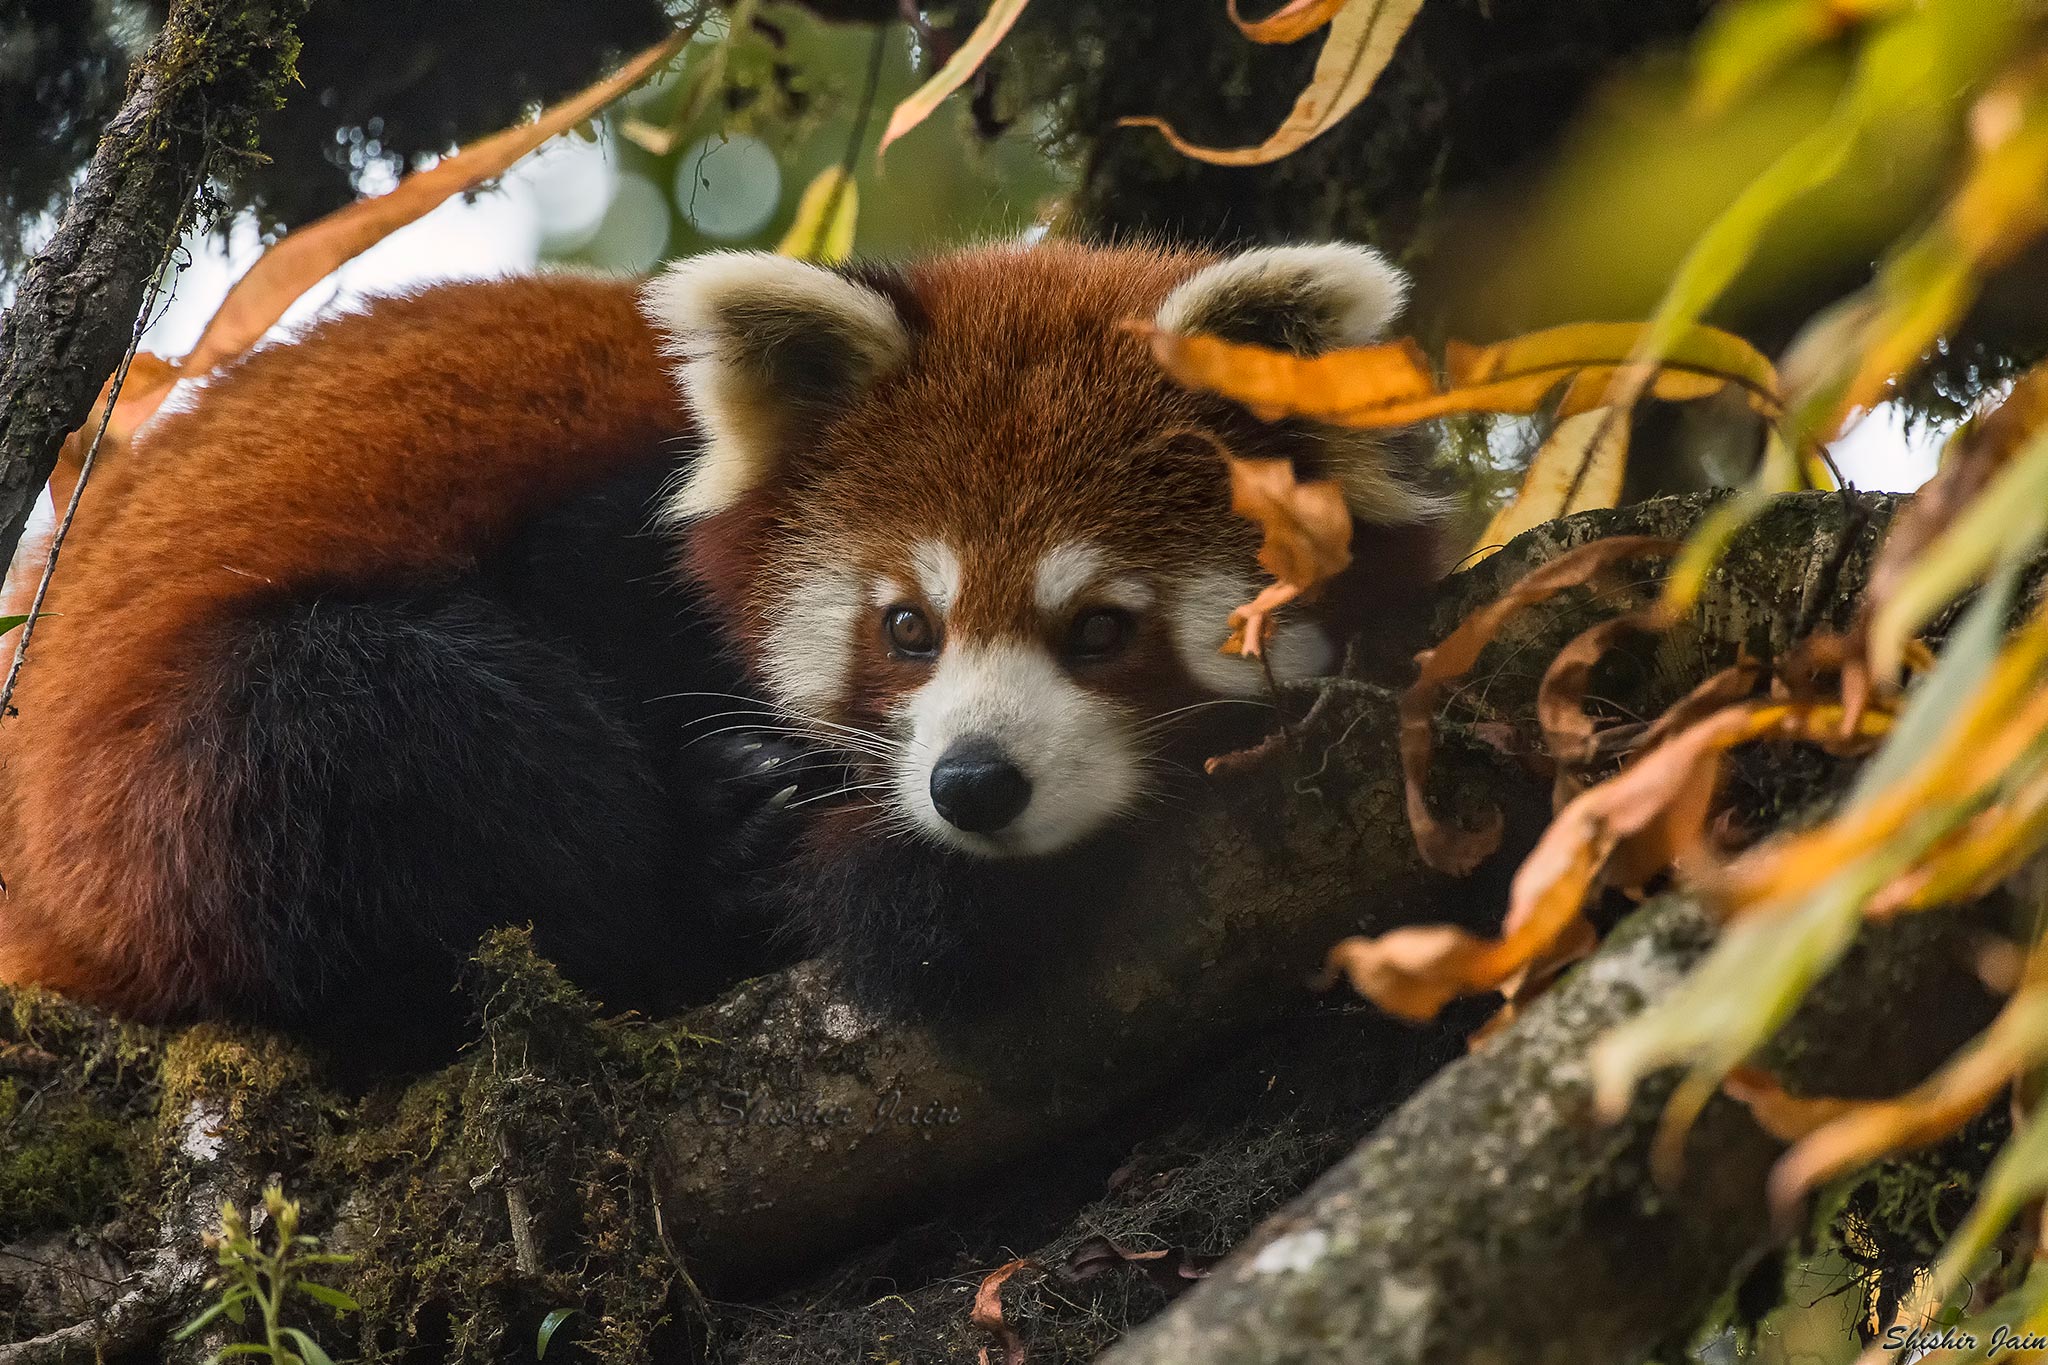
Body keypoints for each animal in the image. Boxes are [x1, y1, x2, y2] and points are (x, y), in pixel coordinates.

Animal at [0, 237, 1441, 1047]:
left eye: (1100, 629)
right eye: (905, 627)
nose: (973, 785)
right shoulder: (613, 535)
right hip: (157, 809)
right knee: (369, 719)